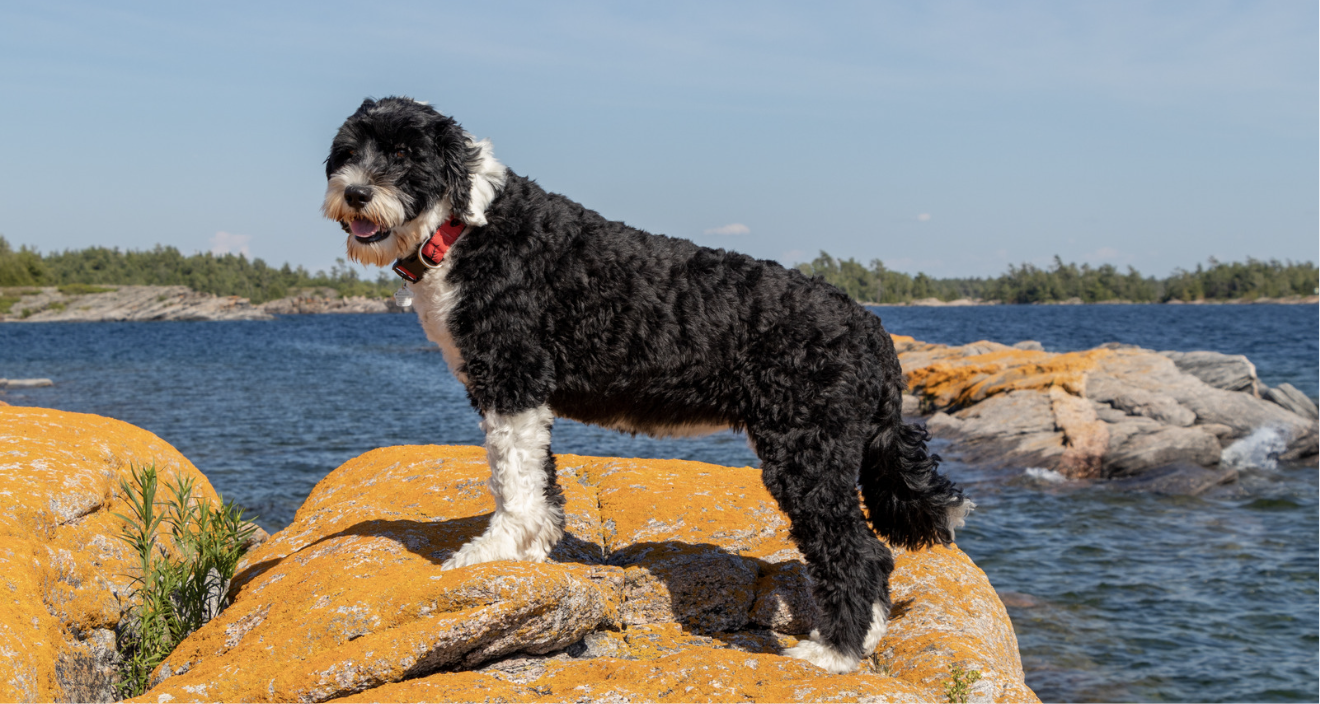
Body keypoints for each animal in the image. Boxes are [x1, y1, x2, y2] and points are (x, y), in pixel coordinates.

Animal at [324, 95, 976, 673]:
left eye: (404, 154)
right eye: (348, 152)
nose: (355, 192)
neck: (465, 228)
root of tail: (870, 327)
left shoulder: (511, 378)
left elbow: (513, 481)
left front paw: (494, 552)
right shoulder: (523, 395)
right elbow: (539, 480)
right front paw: (533, 551)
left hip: (807, 451)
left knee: (859, 553)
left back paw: (833, 654)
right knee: (876, 558)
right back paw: (864, 641)